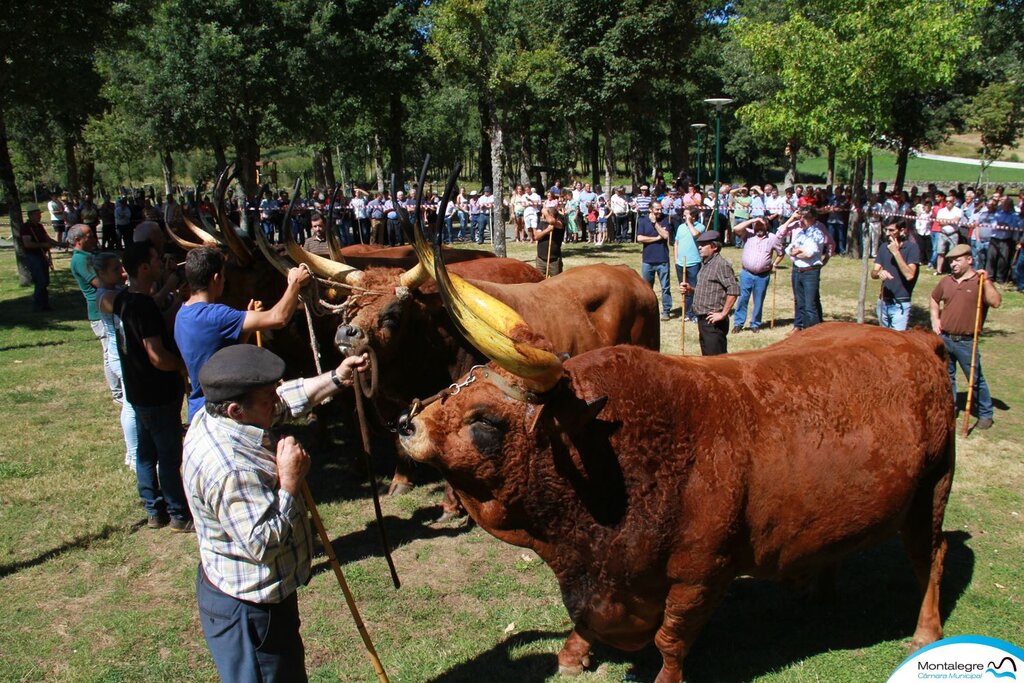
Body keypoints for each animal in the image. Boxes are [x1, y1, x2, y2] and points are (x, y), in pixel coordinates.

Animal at [395, 241, 954, 683]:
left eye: (485, 420)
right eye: (458, 384)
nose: (406, 424)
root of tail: (917, 341)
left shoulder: (701, 575)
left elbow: (671, 638)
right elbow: (586, 624)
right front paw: (574, 654)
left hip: (932, 490)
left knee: (932, 556)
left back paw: (925, 631)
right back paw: (818, 590)